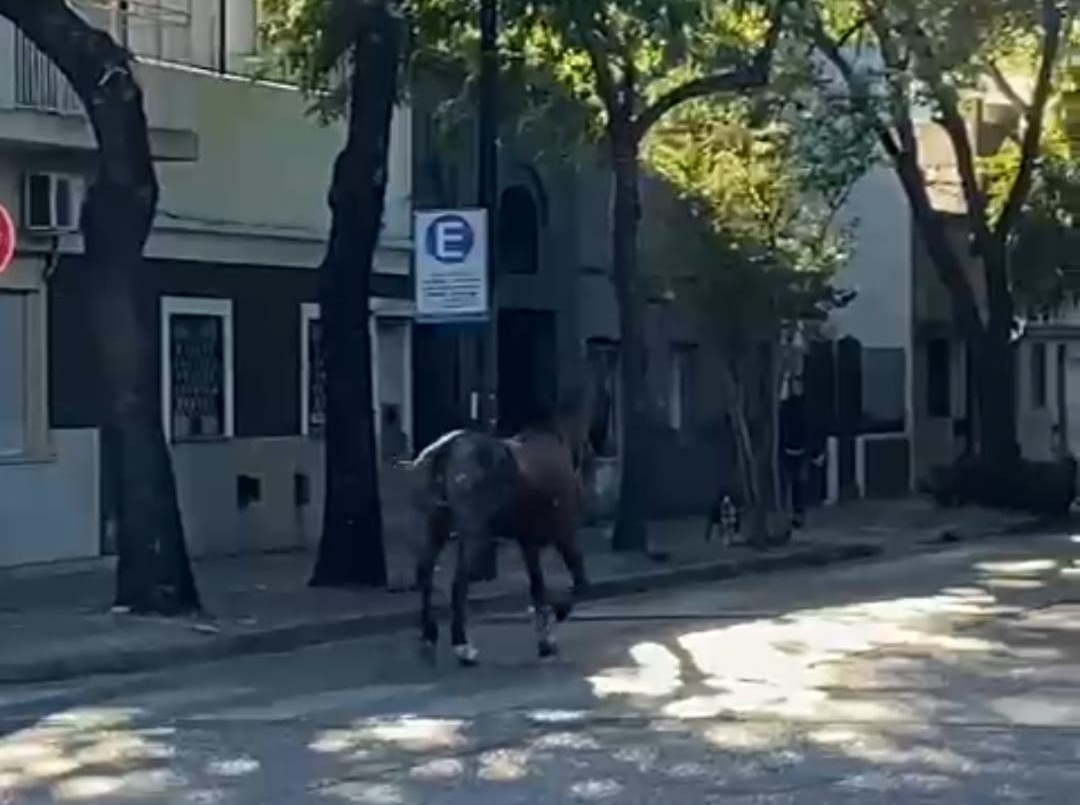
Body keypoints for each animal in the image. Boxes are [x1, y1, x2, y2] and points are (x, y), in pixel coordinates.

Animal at [409, 399, 593, 667]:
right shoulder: (564, 535)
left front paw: (546, 639)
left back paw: (429, 635)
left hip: (436, 526)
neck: (560, 439)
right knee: (458, 583)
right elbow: (579, 584)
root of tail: (448, 449)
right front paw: (556, 619)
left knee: (425, 573)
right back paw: (462, 645)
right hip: (473, 534)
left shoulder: (528, 541)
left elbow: (538, 588)